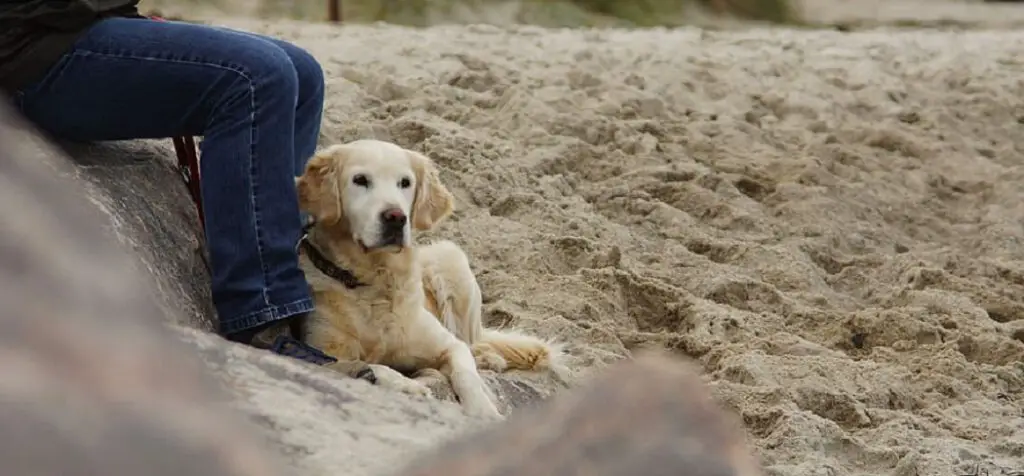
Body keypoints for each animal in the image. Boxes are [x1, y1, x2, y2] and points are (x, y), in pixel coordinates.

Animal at [292, 139, 565, 417]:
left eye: (405, 182)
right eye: (360, 180)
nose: (396, 217)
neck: (376, 278)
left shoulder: (448, 345)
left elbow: (467, 375)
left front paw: (483, 411)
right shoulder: (320, 354)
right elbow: (367, 366)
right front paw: (407, 385)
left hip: (451, 258)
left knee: (473, 340)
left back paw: (488, 357)